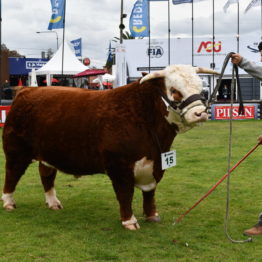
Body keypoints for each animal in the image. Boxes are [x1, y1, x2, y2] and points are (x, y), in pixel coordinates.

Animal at [1, 65, 218, 229]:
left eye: (201, 88)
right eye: (175, 90)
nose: (201, 113)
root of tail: (27, 90)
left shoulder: (155, 165)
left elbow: (150, 193)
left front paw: (152, 216)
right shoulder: (119, 167)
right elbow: (125, 194)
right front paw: (129, 221)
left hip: (48, 153)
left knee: (46, 175)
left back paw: (53, 203)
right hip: (16, 151)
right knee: (12, 174)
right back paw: (9, 203)